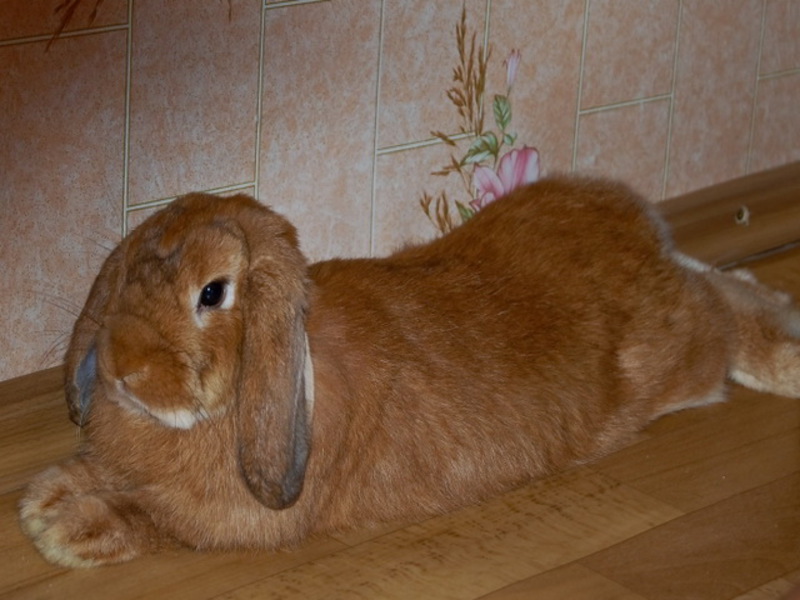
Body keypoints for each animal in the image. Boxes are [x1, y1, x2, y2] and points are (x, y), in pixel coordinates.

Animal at [19, 176, 800, 568]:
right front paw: (46, 495)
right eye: (126, 272)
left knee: (723, 309)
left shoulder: (234, 519)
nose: (122, 366)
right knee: (711, 273)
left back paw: (783, 356)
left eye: (213, 292)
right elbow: (106, 472)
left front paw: (66, 529)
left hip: (679, 357)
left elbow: (154, 517)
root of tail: (636, 219)